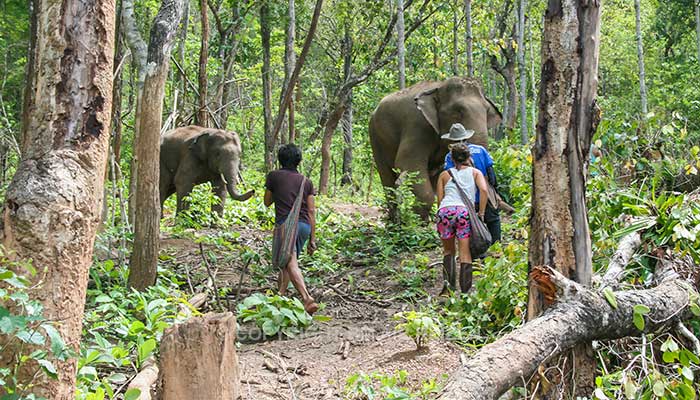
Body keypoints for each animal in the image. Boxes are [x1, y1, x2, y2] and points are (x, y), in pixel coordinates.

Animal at [366, 76, 504, 219]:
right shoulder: (417, 124)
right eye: (458, 111)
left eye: (487, 112)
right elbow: (407, 164)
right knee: (387, 178)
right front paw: (419, 221)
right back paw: (395, 221)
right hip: (375, 136)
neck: (439, 87)